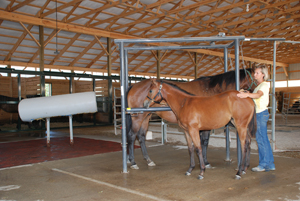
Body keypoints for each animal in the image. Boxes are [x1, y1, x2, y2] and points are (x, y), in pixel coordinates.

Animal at [126, 68, 255, 170]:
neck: (211, 90)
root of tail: (134, 85)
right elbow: (204, 143)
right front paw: (205, 163)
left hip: (146, 117)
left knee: (141, 136)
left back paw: (148, 160)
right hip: (138, 118)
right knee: (132, 135)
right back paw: (133, 162)